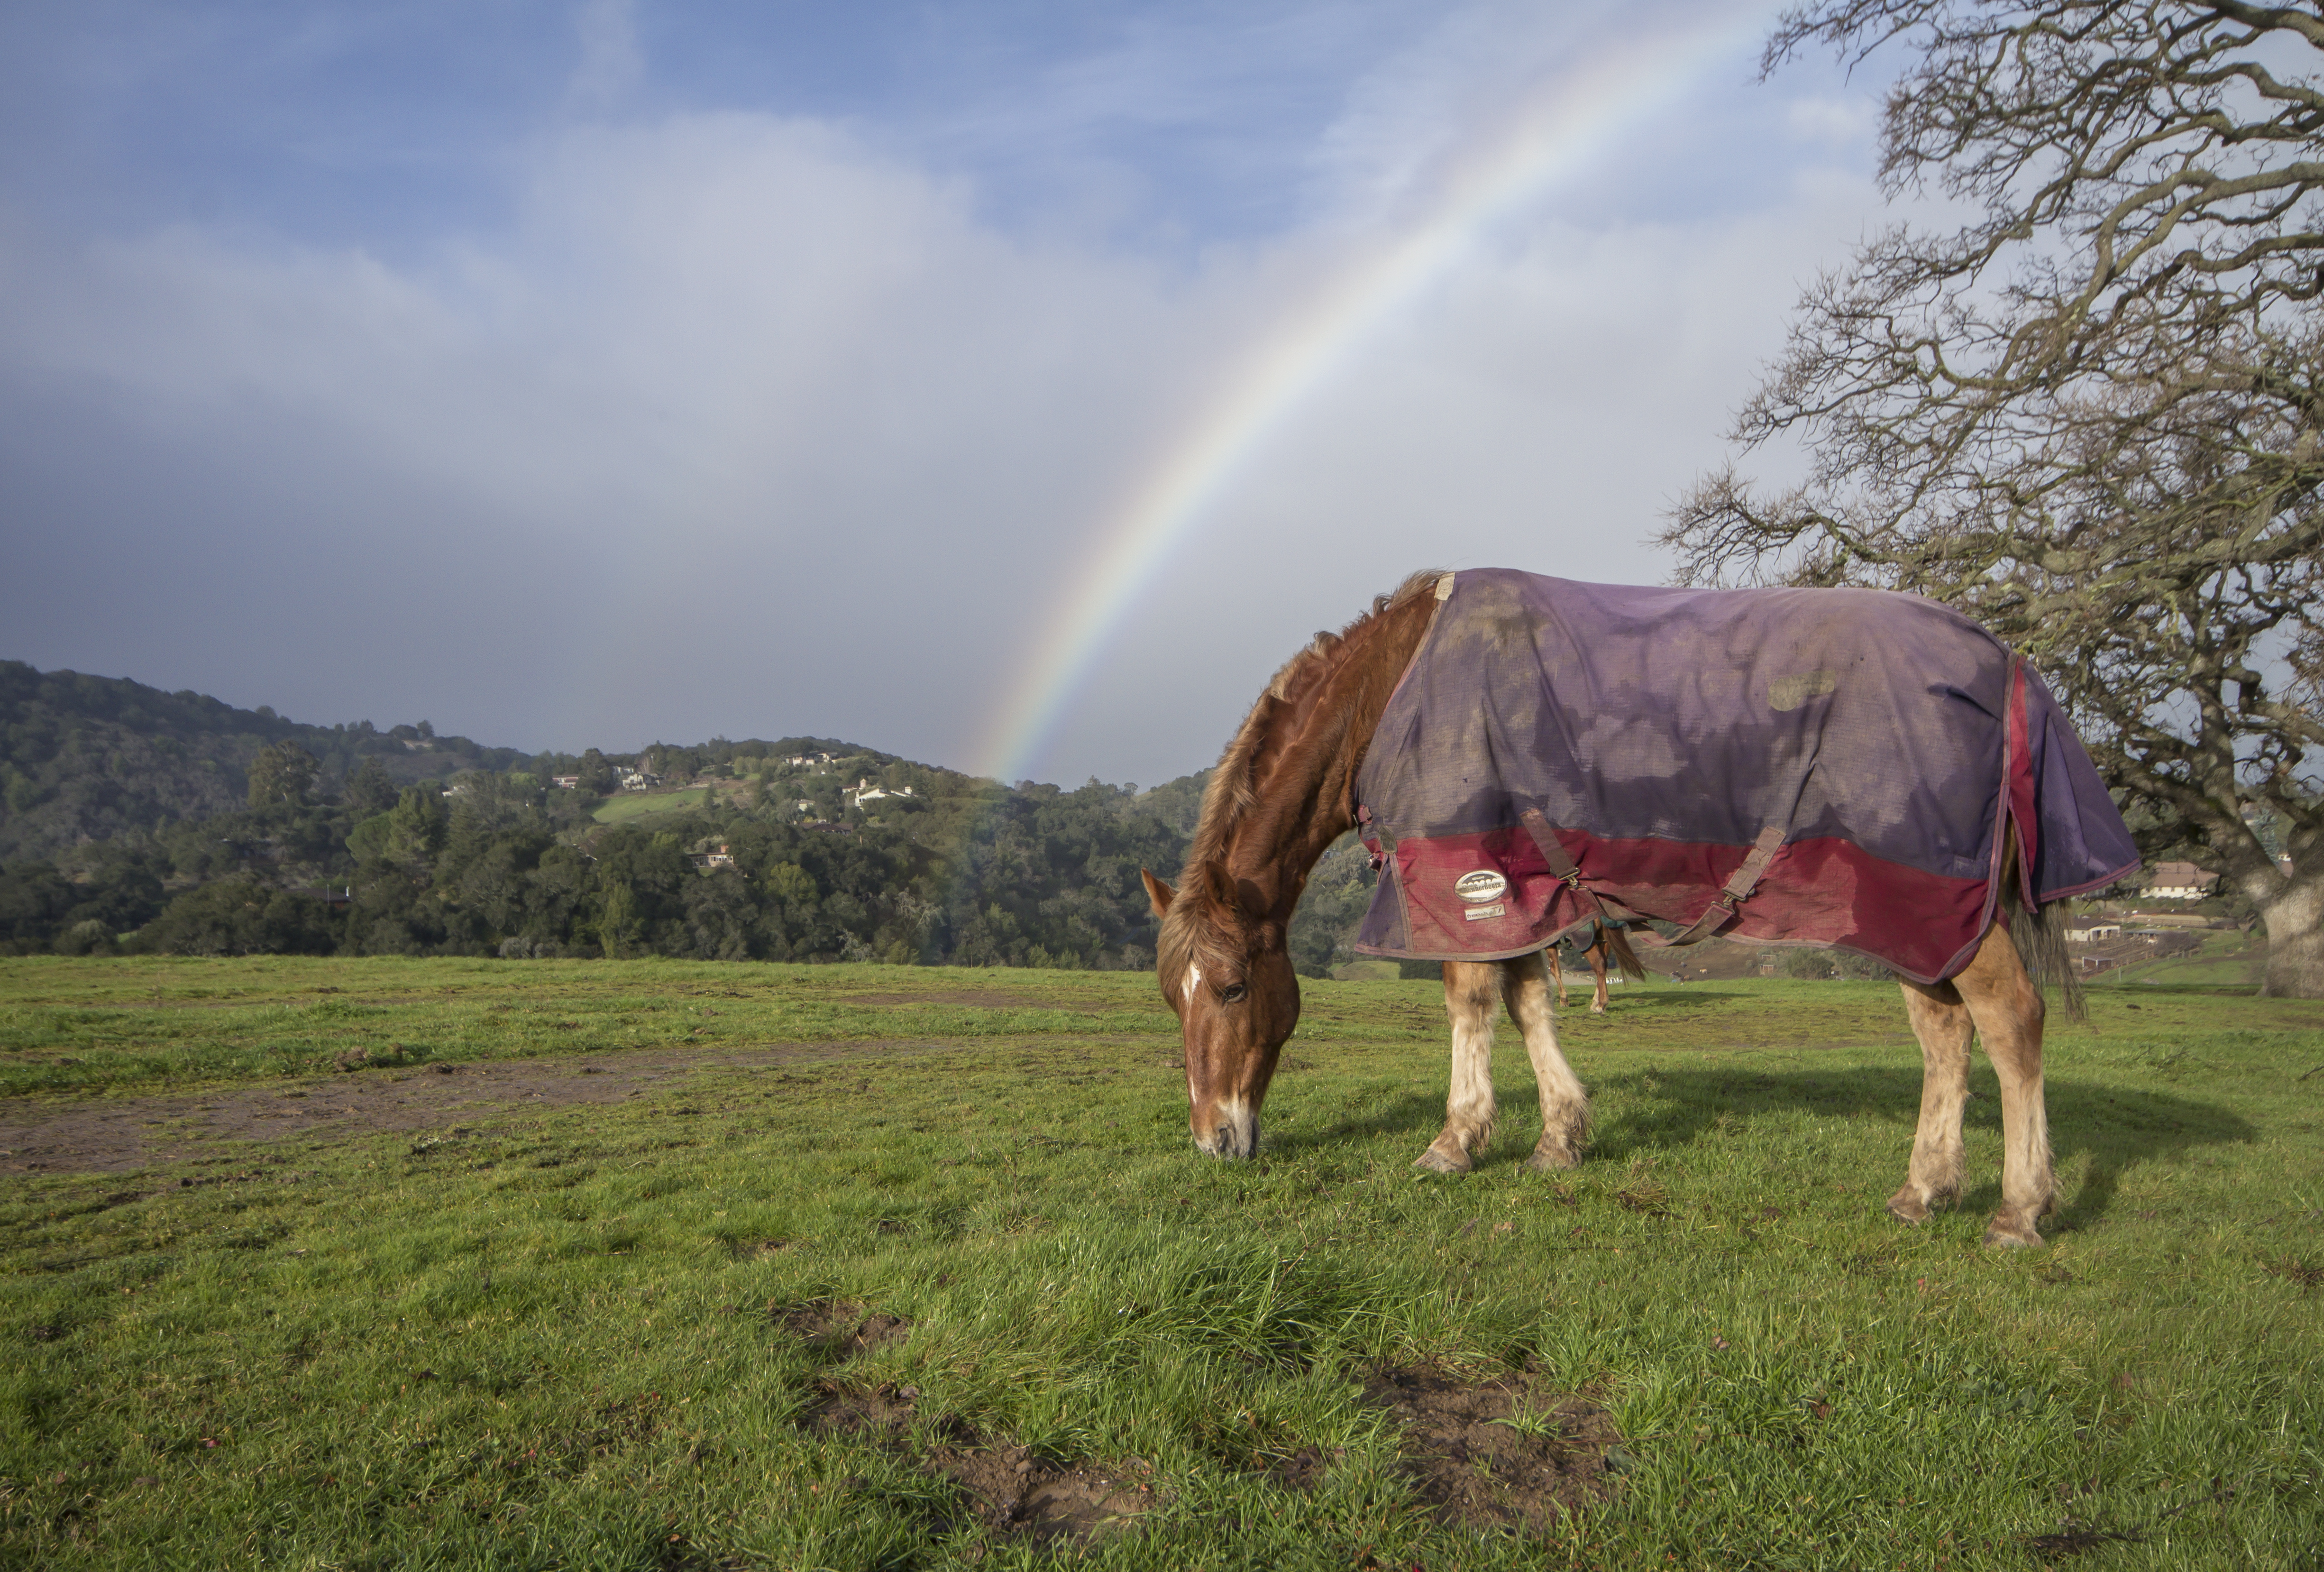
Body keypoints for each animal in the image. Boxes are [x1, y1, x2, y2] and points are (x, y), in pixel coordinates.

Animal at [1134, 572, 2129, 1246]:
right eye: (1172, 996)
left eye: (1232, 987)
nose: (1211, 1140)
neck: (1397, 687)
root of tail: (2005, 667)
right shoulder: (1520, 885)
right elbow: (1529, 1004)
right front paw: (1559, 1137)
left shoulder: (1463, 877)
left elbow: (1470, 1003)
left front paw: (1456, 1140)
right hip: (1914, 916)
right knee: (1943, 1032)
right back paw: (1925, 1190)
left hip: (1945, 905)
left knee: (2009, 1021)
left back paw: (2018, 1208)